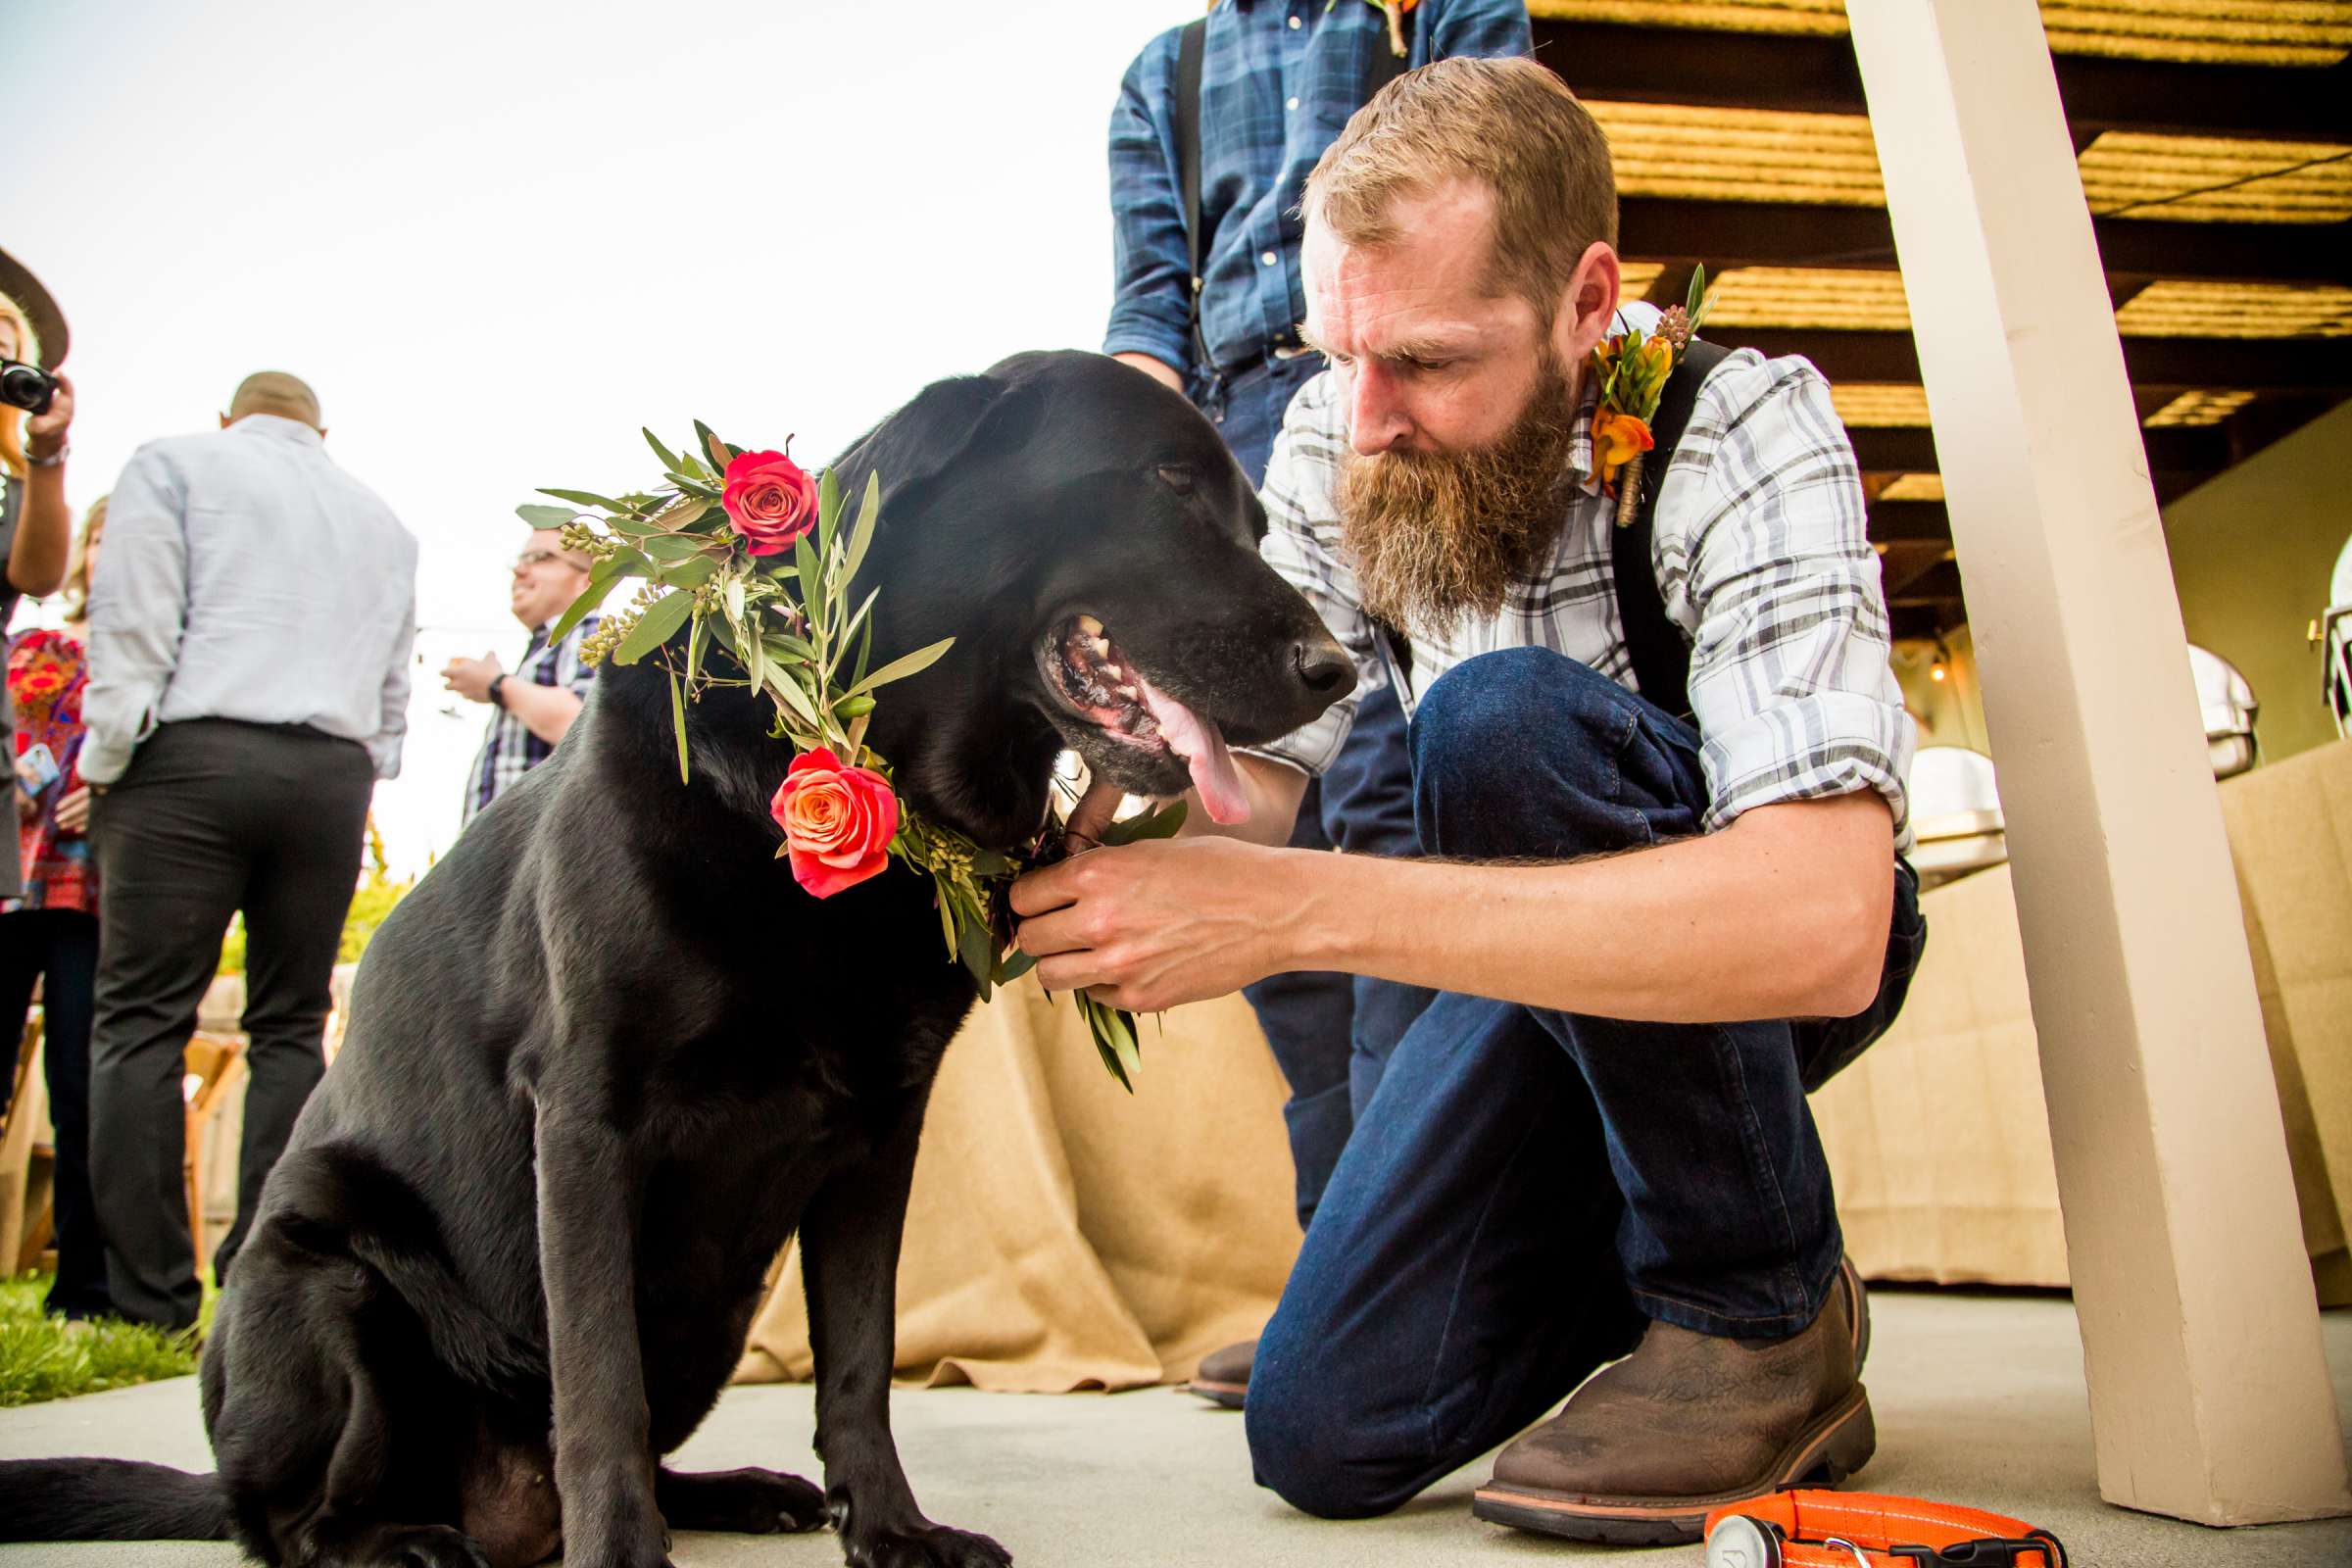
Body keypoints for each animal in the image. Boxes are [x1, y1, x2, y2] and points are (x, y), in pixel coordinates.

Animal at [0, 355, 1354, 1568]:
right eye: (1167, 482)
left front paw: (892, 1529)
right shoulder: (587, 1121)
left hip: (715, 1309)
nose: (1338, 671)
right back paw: (402, 1541)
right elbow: (599, 1383)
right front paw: (624, 1554)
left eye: (1255, 520)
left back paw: (741, 1491)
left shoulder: (881, 1139)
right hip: (320, 1271)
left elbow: (857, 1363)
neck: (858, 760)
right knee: (288, 1522)